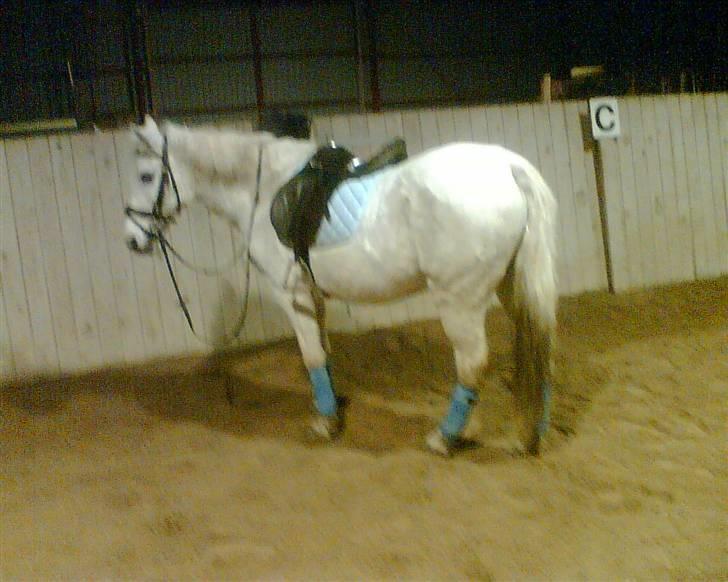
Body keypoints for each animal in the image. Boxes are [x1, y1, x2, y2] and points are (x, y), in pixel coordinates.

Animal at [122, 115, 558, 457]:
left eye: (146, 176)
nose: (132, 240)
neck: (264, 192)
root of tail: (508, 167)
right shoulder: (314, 294)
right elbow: (325, 353)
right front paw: (333, 405)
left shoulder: (293, 296)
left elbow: (312, 355)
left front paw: (325, 422)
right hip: (510, 286)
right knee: (537, 347)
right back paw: (530, 433)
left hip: (459, 300)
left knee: (472, 364)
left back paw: (446, 437)